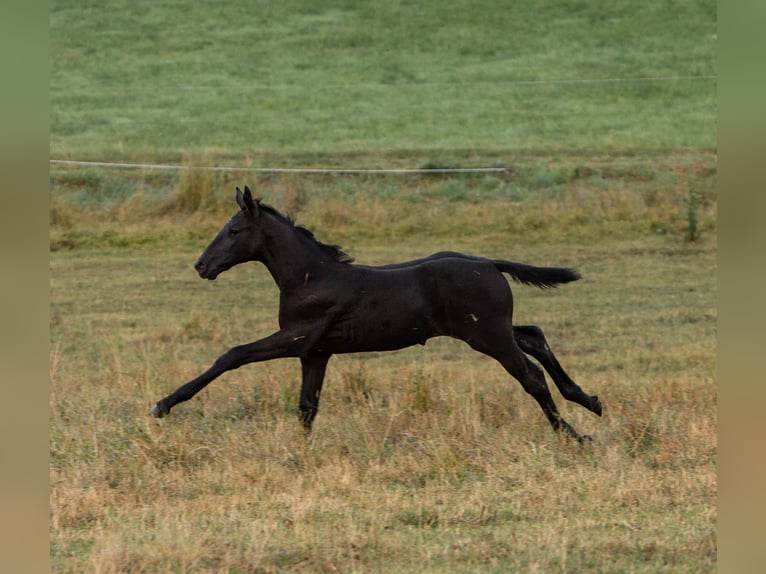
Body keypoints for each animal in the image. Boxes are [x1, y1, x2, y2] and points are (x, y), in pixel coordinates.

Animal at [150, 187, 604, 444]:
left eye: (233, 231)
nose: (202, 266)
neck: (311, 277)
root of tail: (489, 263)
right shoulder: (316, 352)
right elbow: (307, 405)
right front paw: (300, 453)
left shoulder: (297, 337)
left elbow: (232, 355)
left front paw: (163, 404)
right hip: (491, 330)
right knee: (534, 335)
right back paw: (590, 400)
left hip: (487, 336)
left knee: (531, 375)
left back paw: (573, 434)